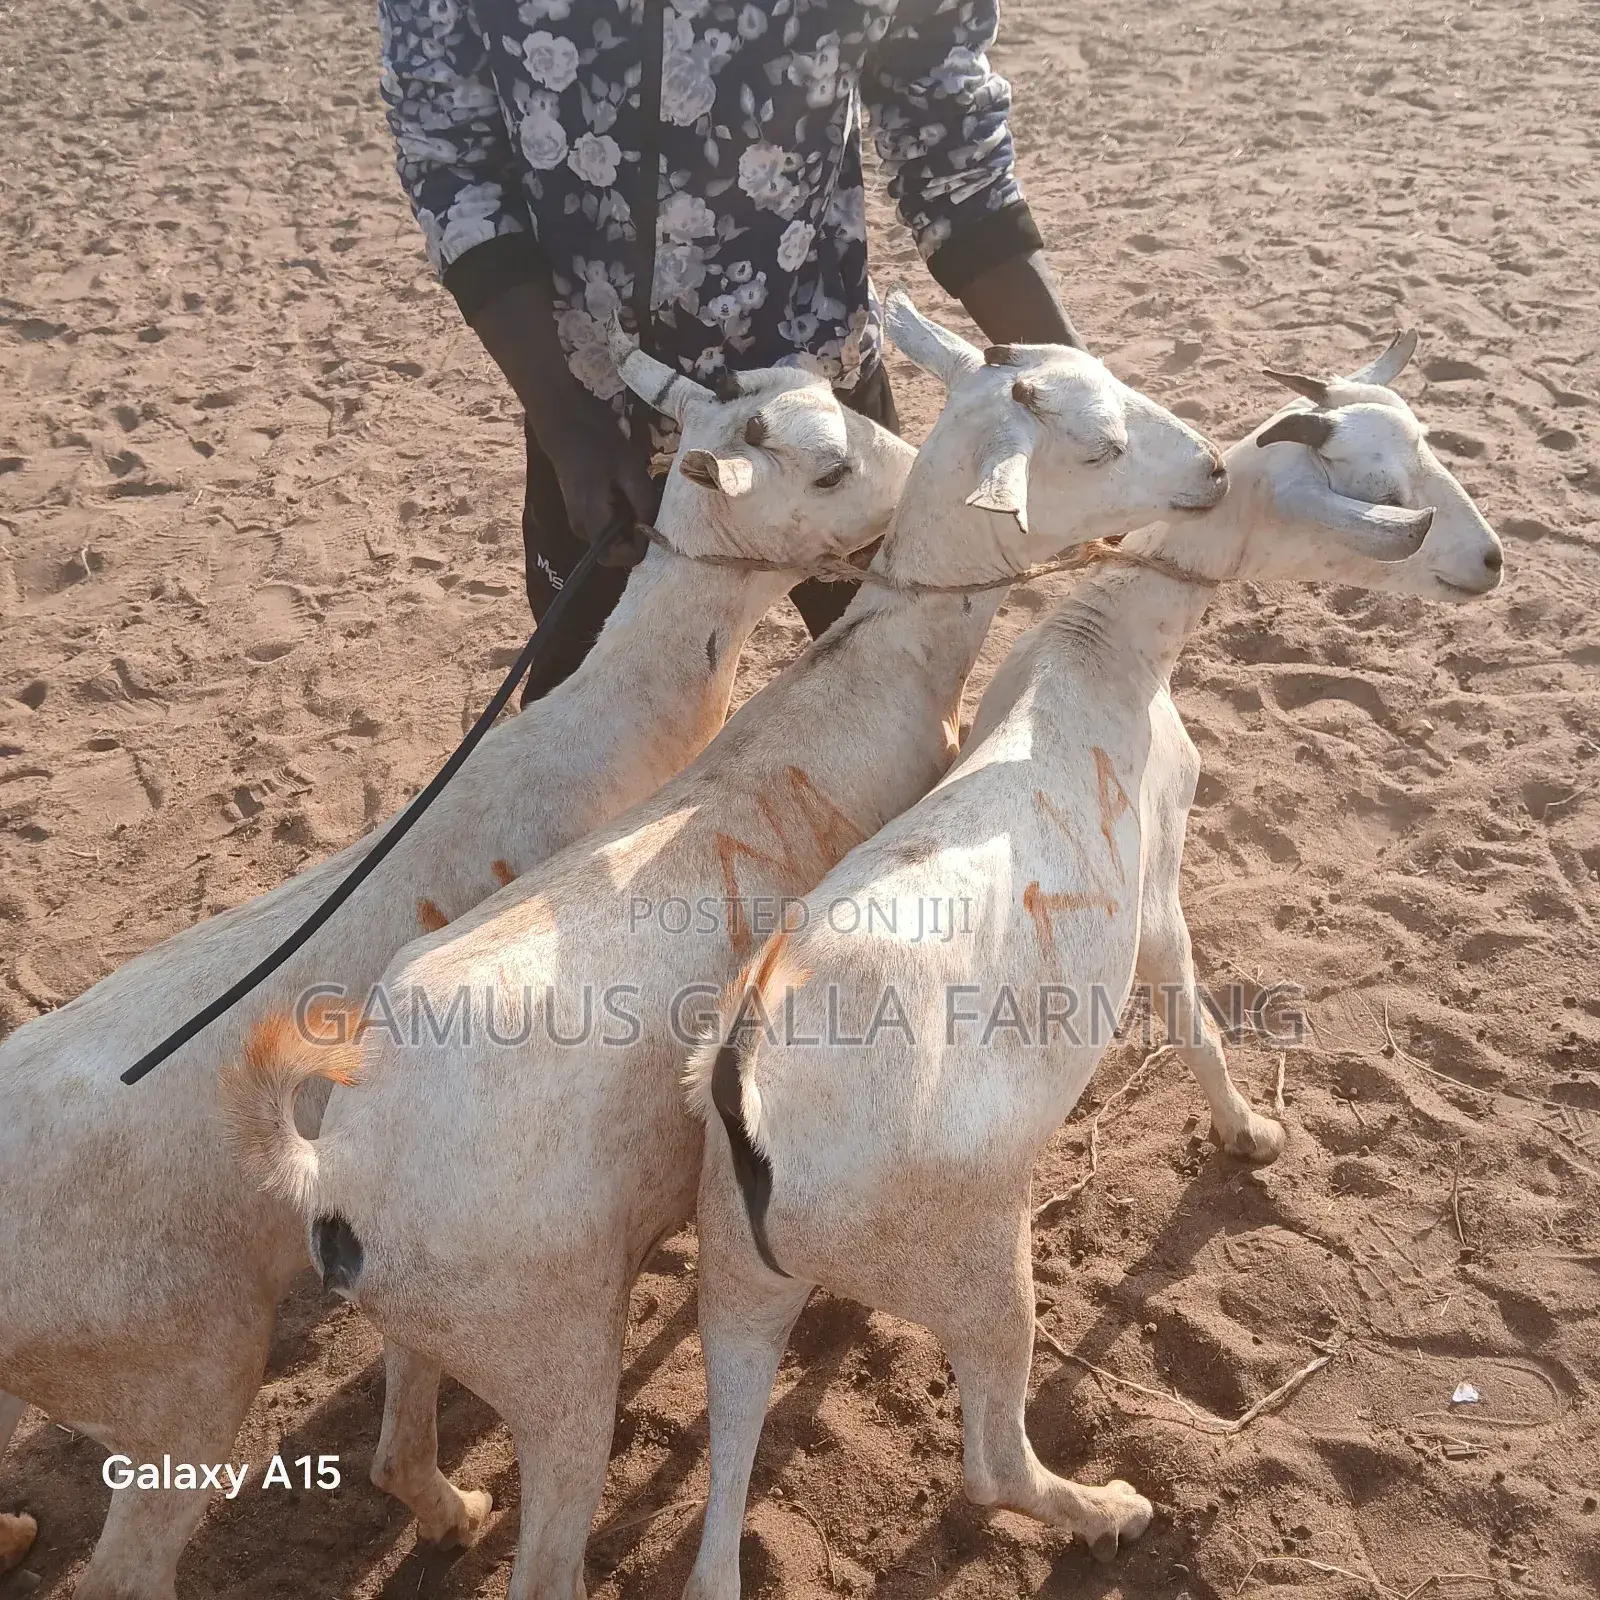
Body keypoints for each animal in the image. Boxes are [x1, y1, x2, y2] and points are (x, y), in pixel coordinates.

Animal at [217, 290, 1228, 1599]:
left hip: (437, 1321)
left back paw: (447, 1506)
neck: (865, 673)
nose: (1212, 468)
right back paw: (1106, 1509)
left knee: (398, 1444)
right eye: (1099, 446)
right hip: (558, 1354)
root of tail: (340, 1176)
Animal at [683, 325, 1504, 1596]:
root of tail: (744, 1094)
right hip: (975, 1259)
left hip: (736, 1284)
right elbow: (1197, 1021)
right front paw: (1251, 1134)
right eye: (1378, 480)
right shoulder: (1156, 891)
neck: (1103, 649)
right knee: (988, 1458)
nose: (1491, 561)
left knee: (715, 1542)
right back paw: (1109, 1509)